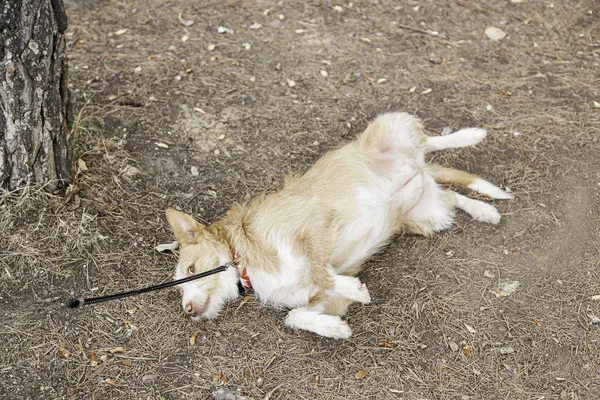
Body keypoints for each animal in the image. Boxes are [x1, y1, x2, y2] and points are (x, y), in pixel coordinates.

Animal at [164, 111, 510, 338]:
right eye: (180, 284)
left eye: (192, 269)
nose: (187, 310)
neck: (244, 262)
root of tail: (419, 168)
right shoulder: (324, 300)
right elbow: (295, 316)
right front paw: (333, 328)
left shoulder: (315, 221)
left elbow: (319, 270)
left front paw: (353, 288)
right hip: (429, 215)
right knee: (451, 194)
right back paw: (483, 209)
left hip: (392, 124)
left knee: (431, 142)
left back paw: (470, 135)